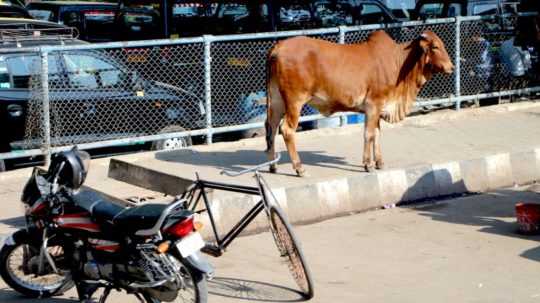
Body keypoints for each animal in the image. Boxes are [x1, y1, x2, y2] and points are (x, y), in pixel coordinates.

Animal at [264, 29, 454, 177]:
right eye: (435, 46)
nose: (451, 67)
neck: (399, 63)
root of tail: (279, 46)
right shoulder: (373, 105)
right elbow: (369, 134)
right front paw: (368, 164)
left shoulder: (378, 109)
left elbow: (377, 134)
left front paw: (379, 162)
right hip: (294, 101)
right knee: (286, 130)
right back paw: (299, 168)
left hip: (277, 100)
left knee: (270, 127)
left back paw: (273, 166)